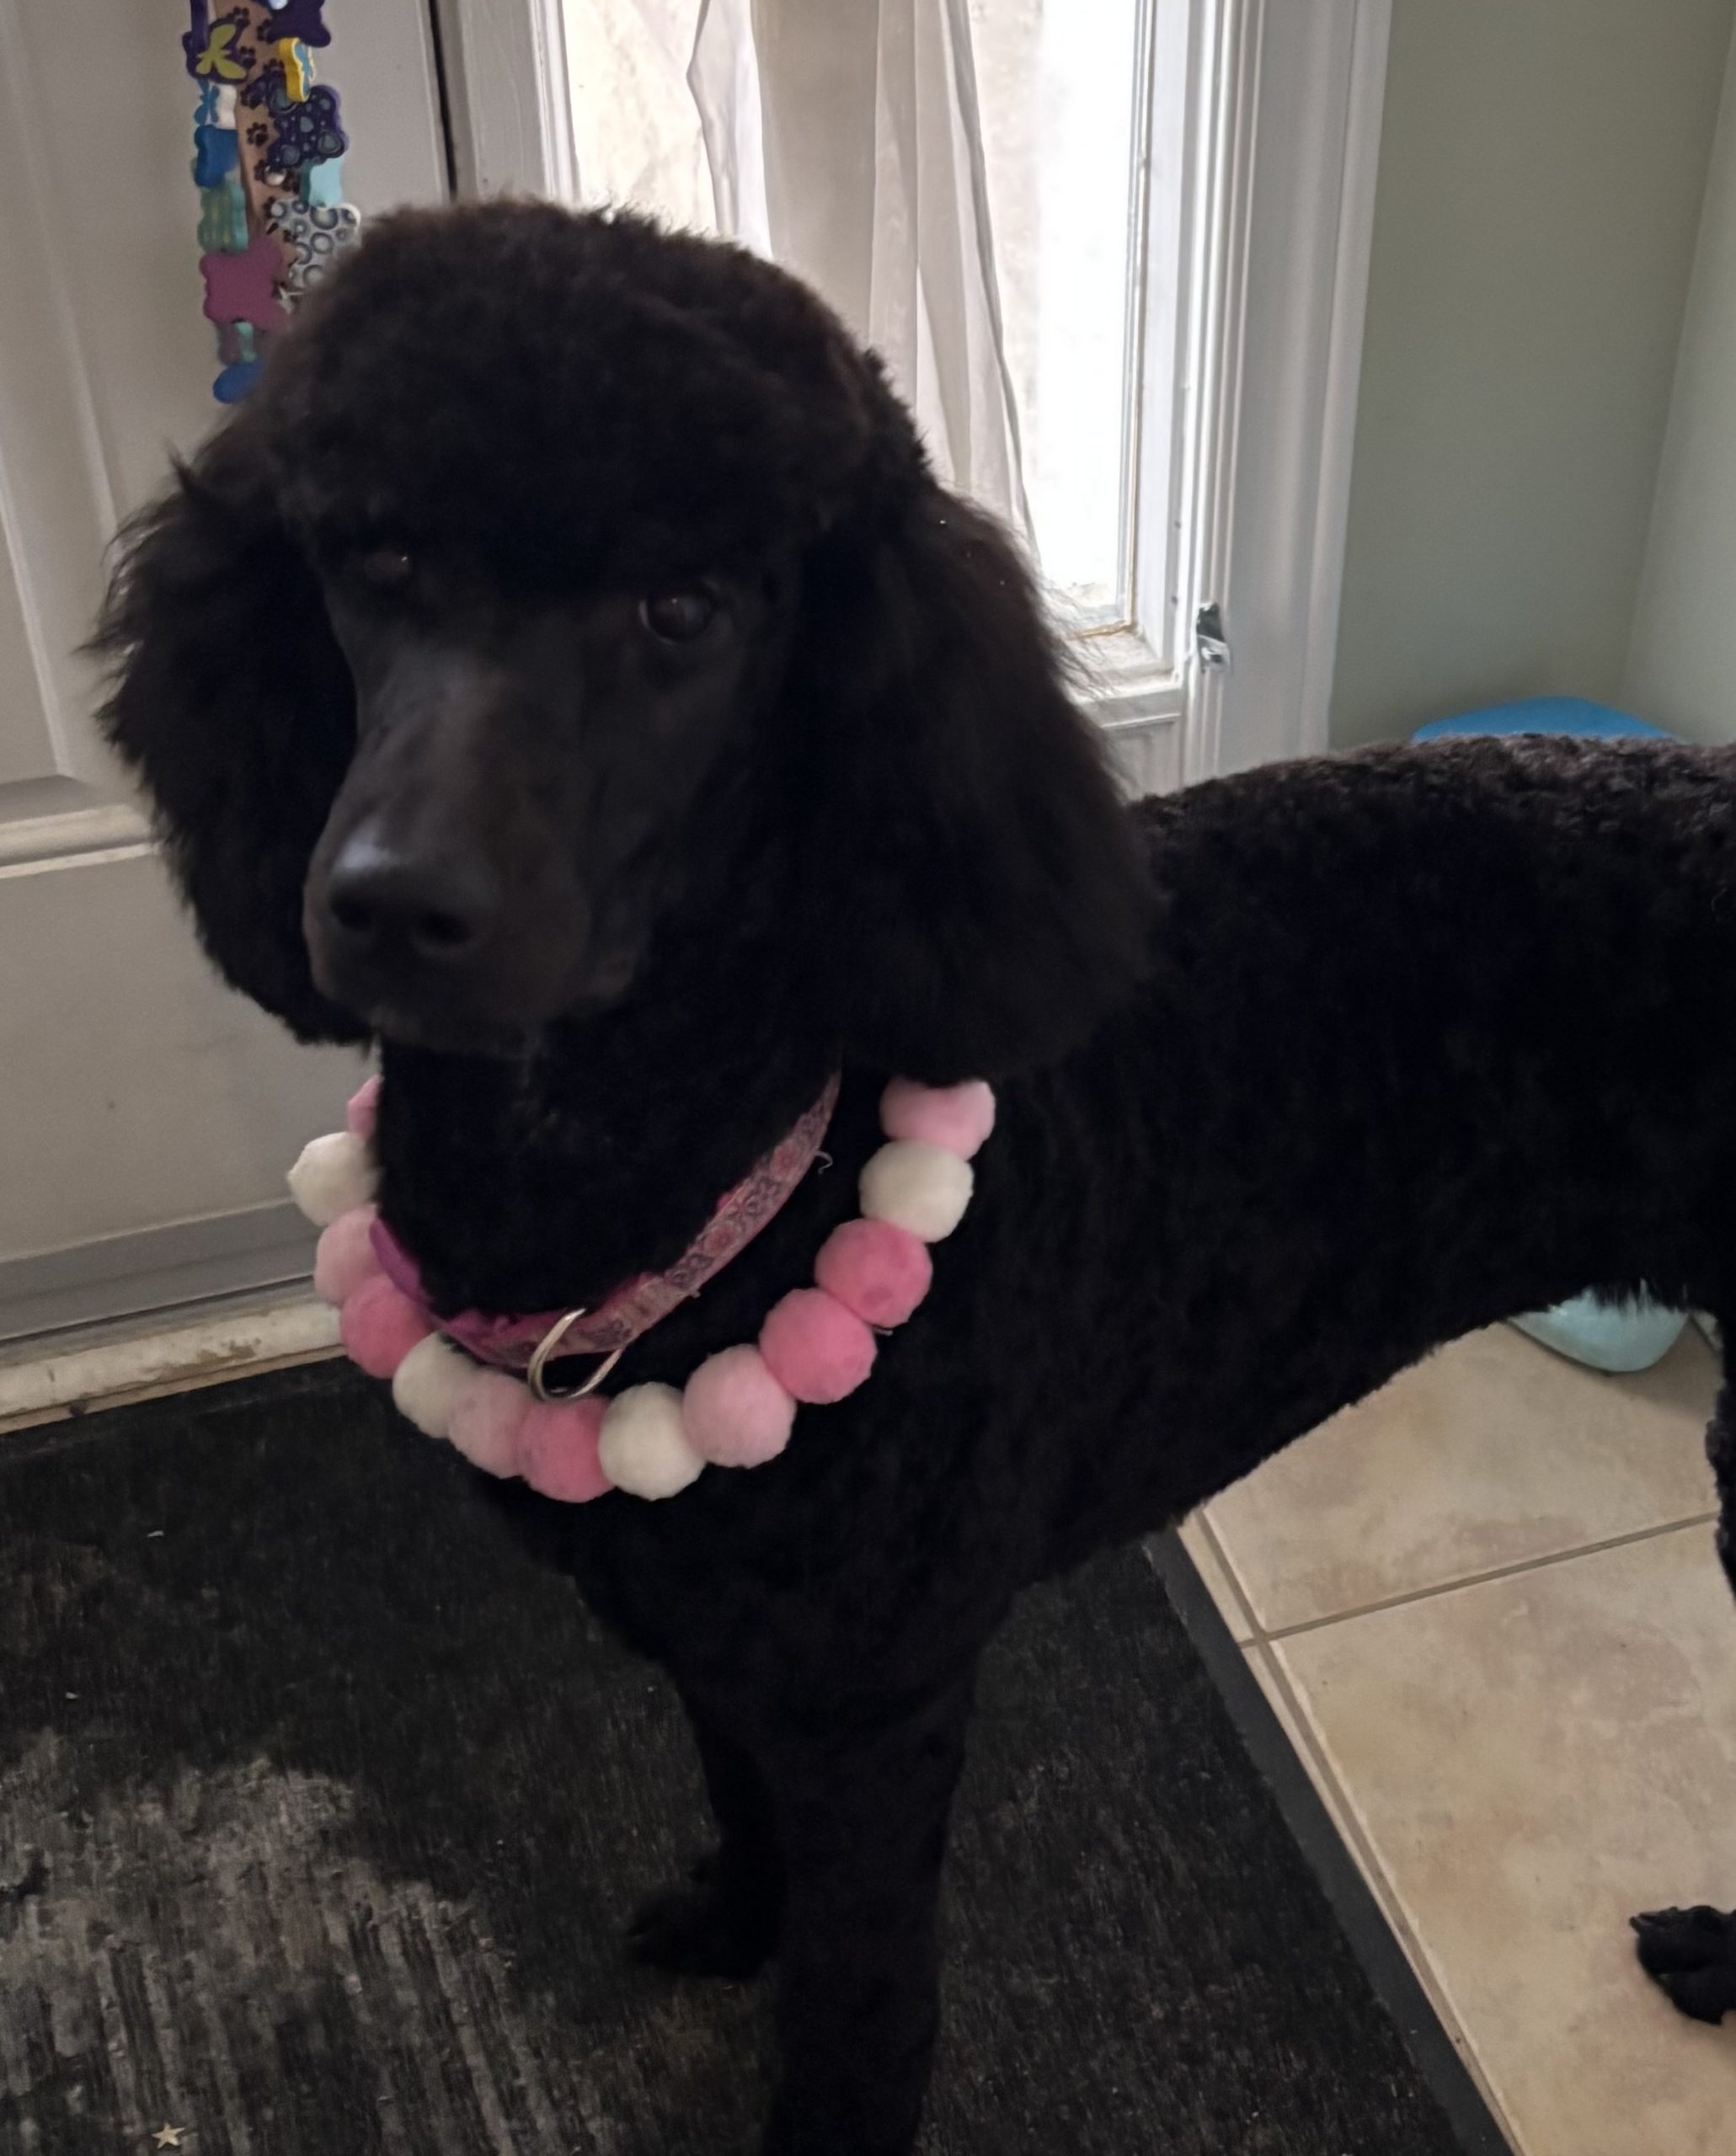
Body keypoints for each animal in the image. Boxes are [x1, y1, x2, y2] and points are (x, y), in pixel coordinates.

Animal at [95, 199, 1736, 2154]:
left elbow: (863, 1999)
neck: (692, 1171)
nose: (391, 902)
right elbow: (739, 1804)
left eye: (685, 608)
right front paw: (735, 1916)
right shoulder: (726, 1643)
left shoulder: (877, 1704)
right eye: (379, 557)